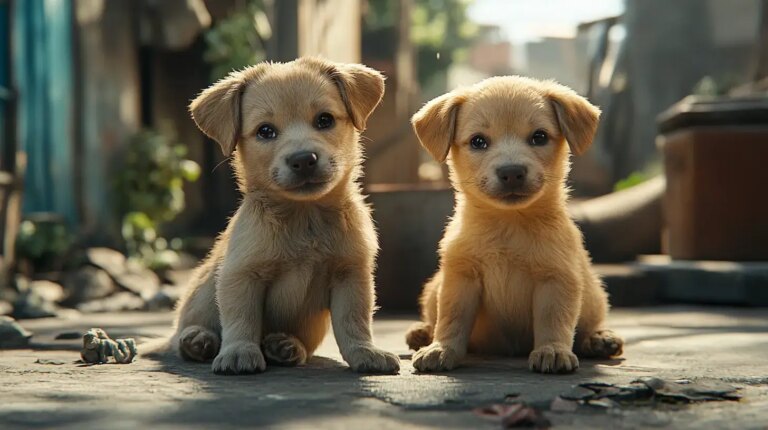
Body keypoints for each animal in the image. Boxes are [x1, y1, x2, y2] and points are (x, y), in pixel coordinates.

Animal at [173, 56, 400, 372]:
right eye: (265, 131)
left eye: (325, 120)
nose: (303, 160)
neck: (304, 219)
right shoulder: (240, 275)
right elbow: (241, 319)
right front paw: (239, 351)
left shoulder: (352, 274)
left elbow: (354, 321)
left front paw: (365, 352)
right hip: (205, 288)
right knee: (185, 328)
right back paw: (197, 339)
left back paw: (285, 346)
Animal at [404, 76, 620, 372]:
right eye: (478, 141)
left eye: (539, 136)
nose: (511, 172)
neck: (507, 227)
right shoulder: (461, 277)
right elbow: (451, 318)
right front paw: (441, 348)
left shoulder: (557, 278)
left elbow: (554, 320)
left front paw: (552, 350)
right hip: (433, 287)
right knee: (433, 317)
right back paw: (422, 333)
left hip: (594, 295)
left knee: (590, 323)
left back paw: (599, 338)